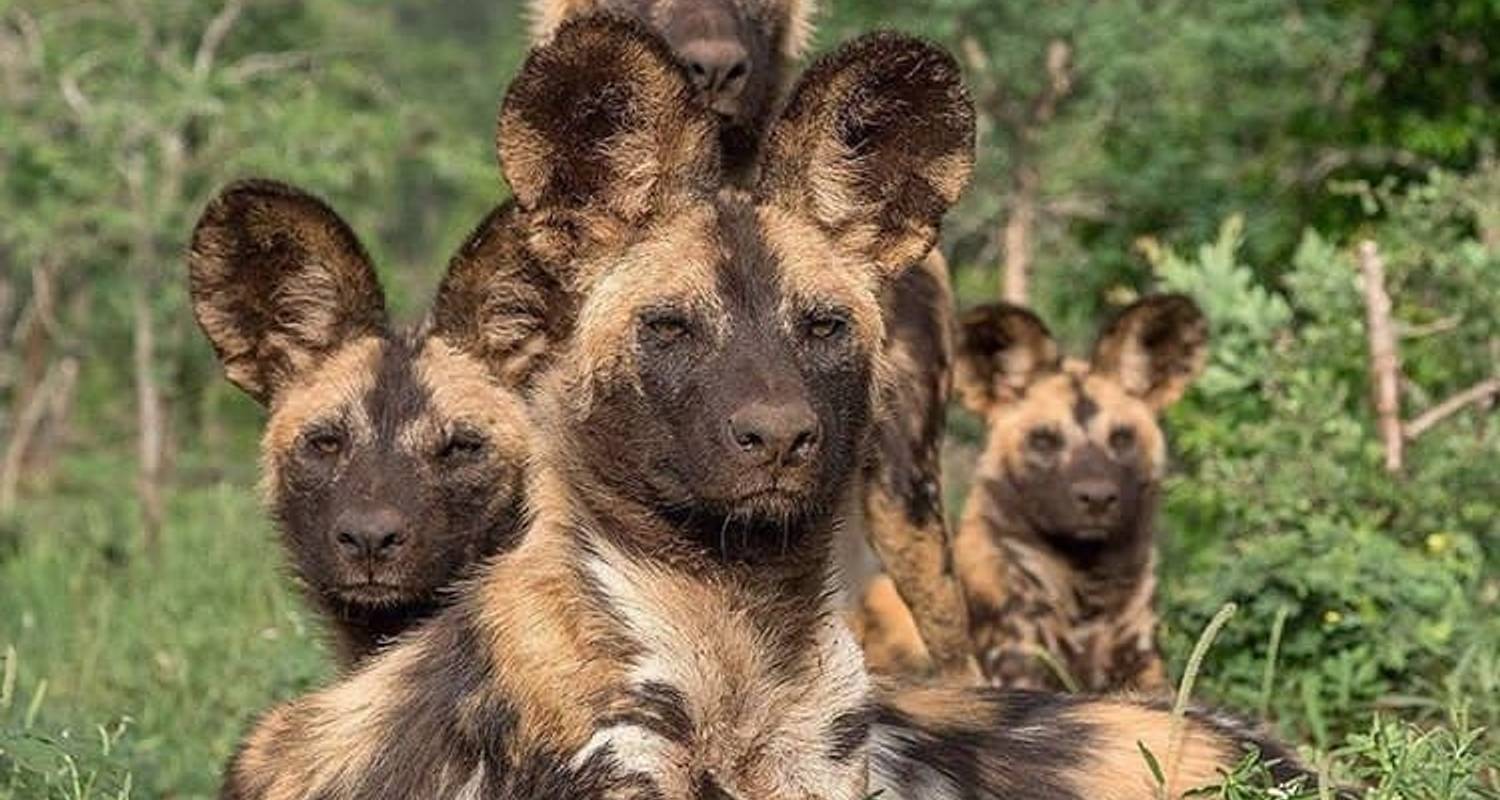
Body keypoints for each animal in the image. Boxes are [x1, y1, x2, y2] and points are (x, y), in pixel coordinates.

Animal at [858, 295, 1206, 690]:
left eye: (1121, 438)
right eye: (1043, 440)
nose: (1097, 498)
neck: (1087, 594)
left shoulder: (1145, 669)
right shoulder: (1018, 665)